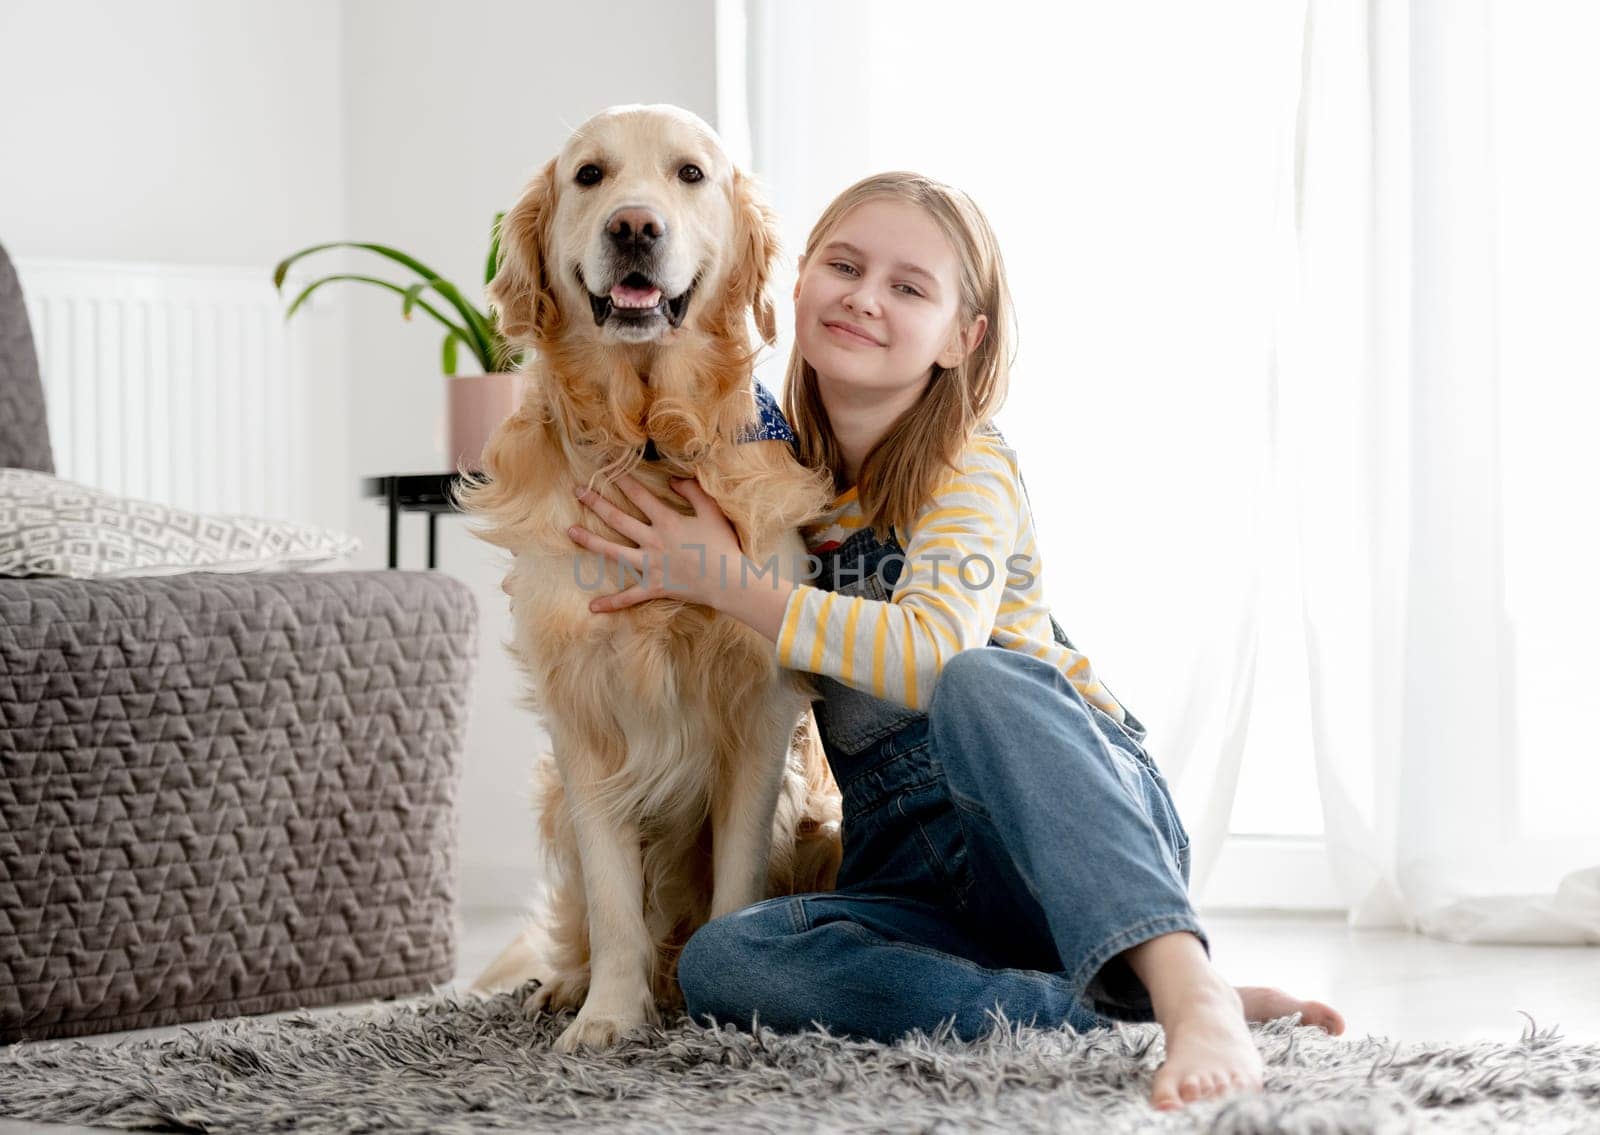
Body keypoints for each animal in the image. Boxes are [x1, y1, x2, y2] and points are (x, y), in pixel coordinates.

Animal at [454, 101, 844, 1050]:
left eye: (690, 174)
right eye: (589, 175)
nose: (634, 227)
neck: (649, 437)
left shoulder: (760, 710)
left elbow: (736, 882)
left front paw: (719, 1014)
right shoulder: (581, 714)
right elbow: (610, 898)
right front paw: (607, 1016)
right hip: (552, 797)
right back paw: (568, 983)